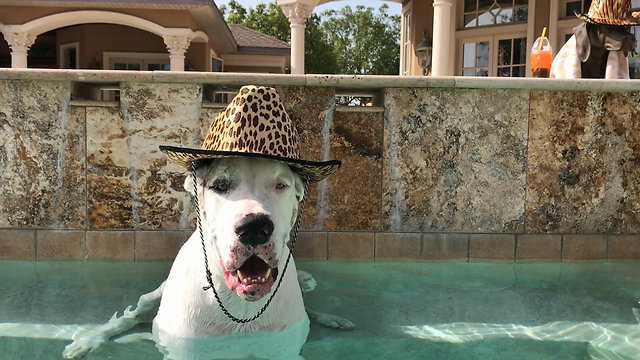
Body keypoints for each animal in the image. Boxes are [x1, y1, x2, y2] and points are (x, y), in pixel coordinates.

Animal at [63, 158, 356, 360]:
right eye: (220, 185)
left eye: (280, 185)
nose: (254, 227)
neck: (240, 307)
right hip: (153, 297)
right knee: (130, 316)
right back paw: (88, 341)